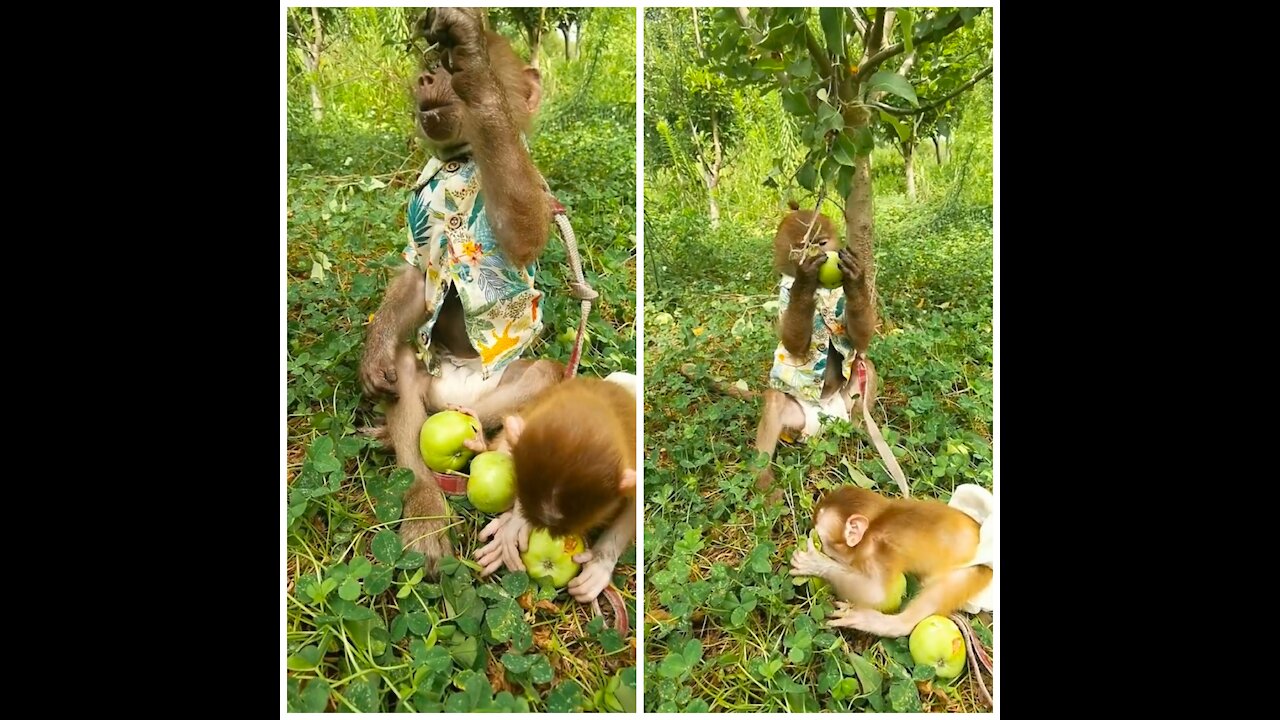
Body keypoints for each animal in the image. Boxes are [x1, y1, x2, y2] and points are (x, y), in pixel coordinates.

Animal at [358, 7, 563, 571]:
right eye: (429, 66)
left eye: (445, 65)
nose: (430, 77)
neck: (461, 161)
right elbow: (414, 277)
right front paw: (374, 354)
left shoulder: (532, 182)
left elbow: (524, 233)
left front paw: (479, 77)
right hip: (432, 386)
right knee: (406, 376)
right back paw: (424, 504)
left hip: (493, 386)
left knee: (542, 376)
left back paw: (479, 433)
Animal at [747, 202, 880, 489]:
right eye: (804, 245)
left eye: (821, 242)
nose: (818, 251)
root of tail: (827, 413)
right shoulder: (785, 293)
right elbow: (795, 345)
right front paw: (806, 279)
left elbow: (858, 340)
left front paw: (856, 279)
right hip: (798, 422)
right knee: (775, 400)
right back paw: (764, 481)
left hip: (846, 405)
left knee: (865, 365)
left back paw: (863, 431)